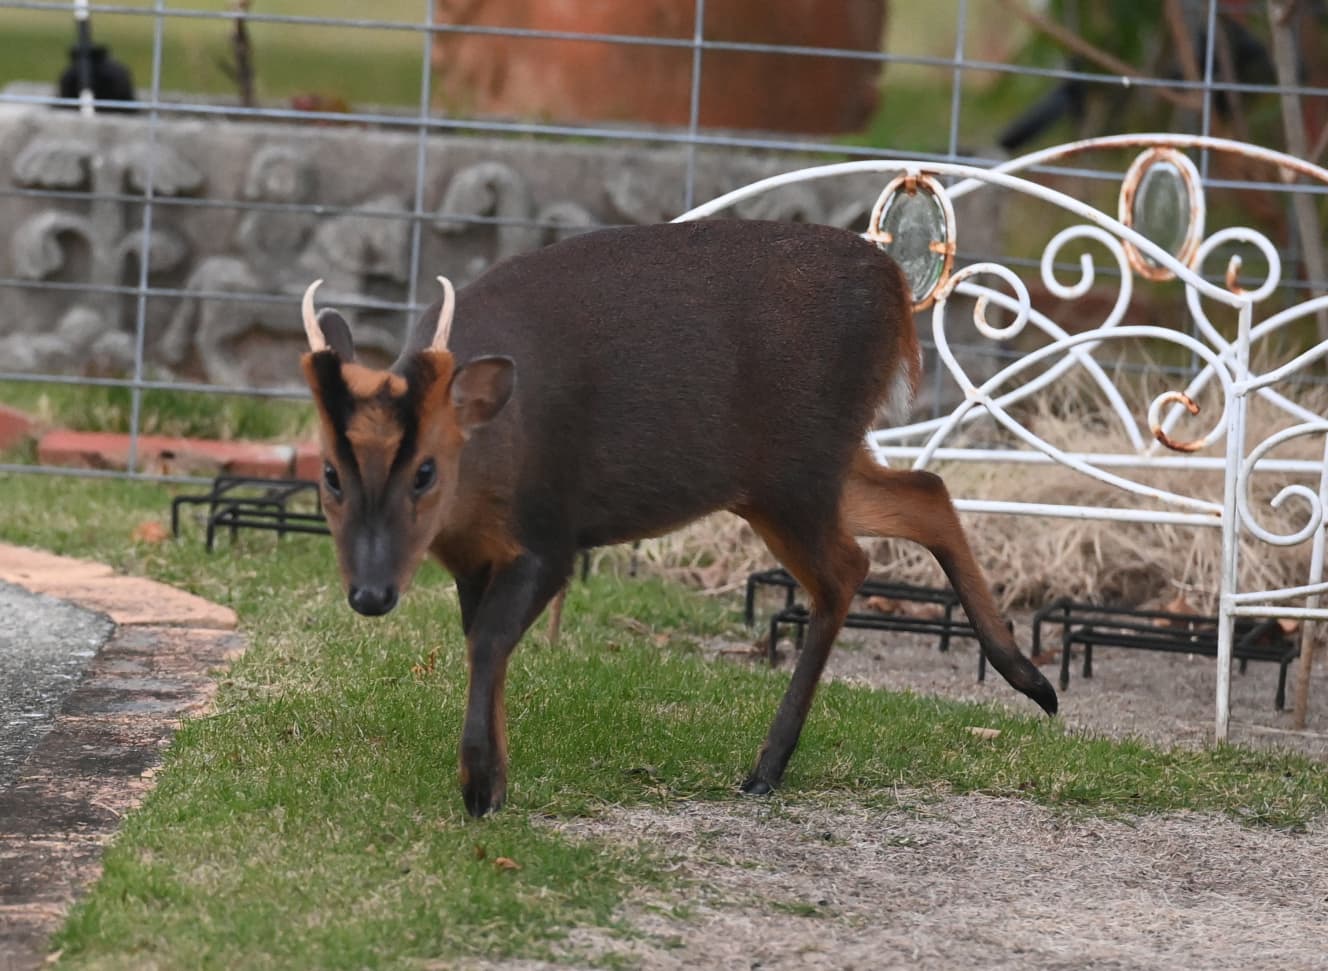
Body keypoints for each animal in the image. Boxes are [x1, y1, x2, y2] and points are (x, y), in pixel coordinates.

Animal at [301, 221, 1057, 818]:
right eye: (330, 473)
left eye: (426, 471)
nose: (371, 592)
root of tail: (896, 285)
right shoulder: (472, 554)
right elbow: (480, 639)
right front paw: (496, 777)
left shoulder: (552, 536)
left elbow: (488, 640)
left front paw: (481, 786)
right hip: (795, 469)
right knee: (926, 490)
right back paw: (1031, 678)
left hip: (797, 469)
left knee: (848, 567)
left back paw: (767, 768)